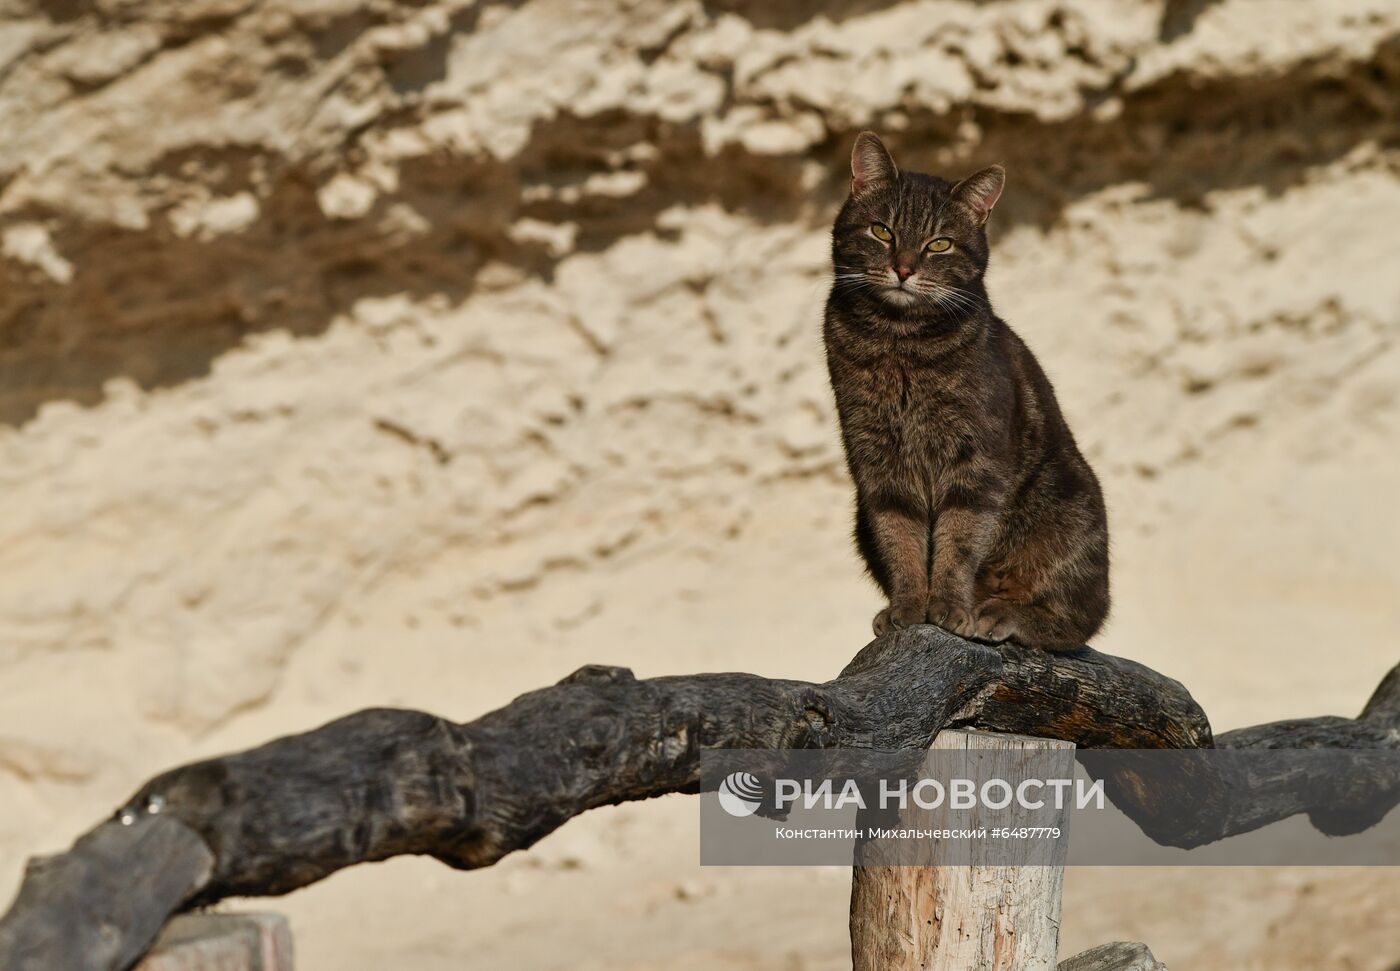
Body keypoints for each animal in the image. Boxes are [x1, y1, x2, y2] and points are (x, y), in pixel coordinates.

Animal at [823, 131, 1108, 654]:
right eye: (882, 231)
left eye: (940, 243)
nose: (903, 268)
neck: (899, 340)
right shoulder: (878, 463)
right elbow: (901, 539)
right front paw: (908, 606)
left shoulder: (976, 462)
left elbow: (958, 540)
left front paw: (951, 608)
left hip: (1068, 514)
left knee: (1077, 621)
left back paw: (999, 612)